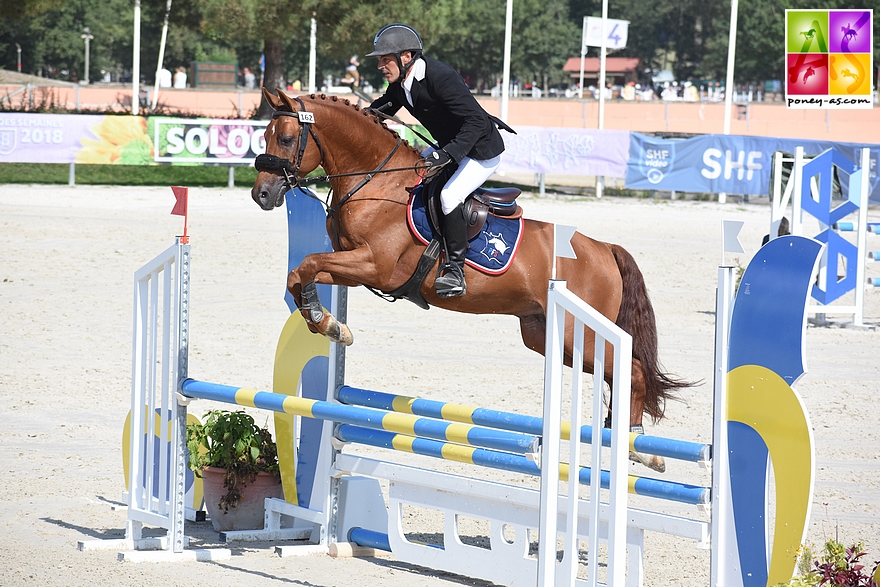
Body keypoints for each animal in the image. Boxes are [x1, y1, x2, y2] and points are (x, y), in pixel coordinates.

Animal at [251, 89, 692, 474]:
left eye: (286, 138)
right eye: (265, 135)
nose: (262, 195)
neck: (377, 180)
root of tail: (604, 249)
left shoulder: (375, 266)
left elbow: (307, 265)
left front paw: (327, 323)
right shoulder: (350, 265)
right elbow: (301, 273)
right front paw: (327, 322)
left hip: (575, 331)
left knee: (633, 370)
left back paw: (640, 448)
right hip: (546, 336)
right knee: (617, 373)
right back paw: (622, 437)